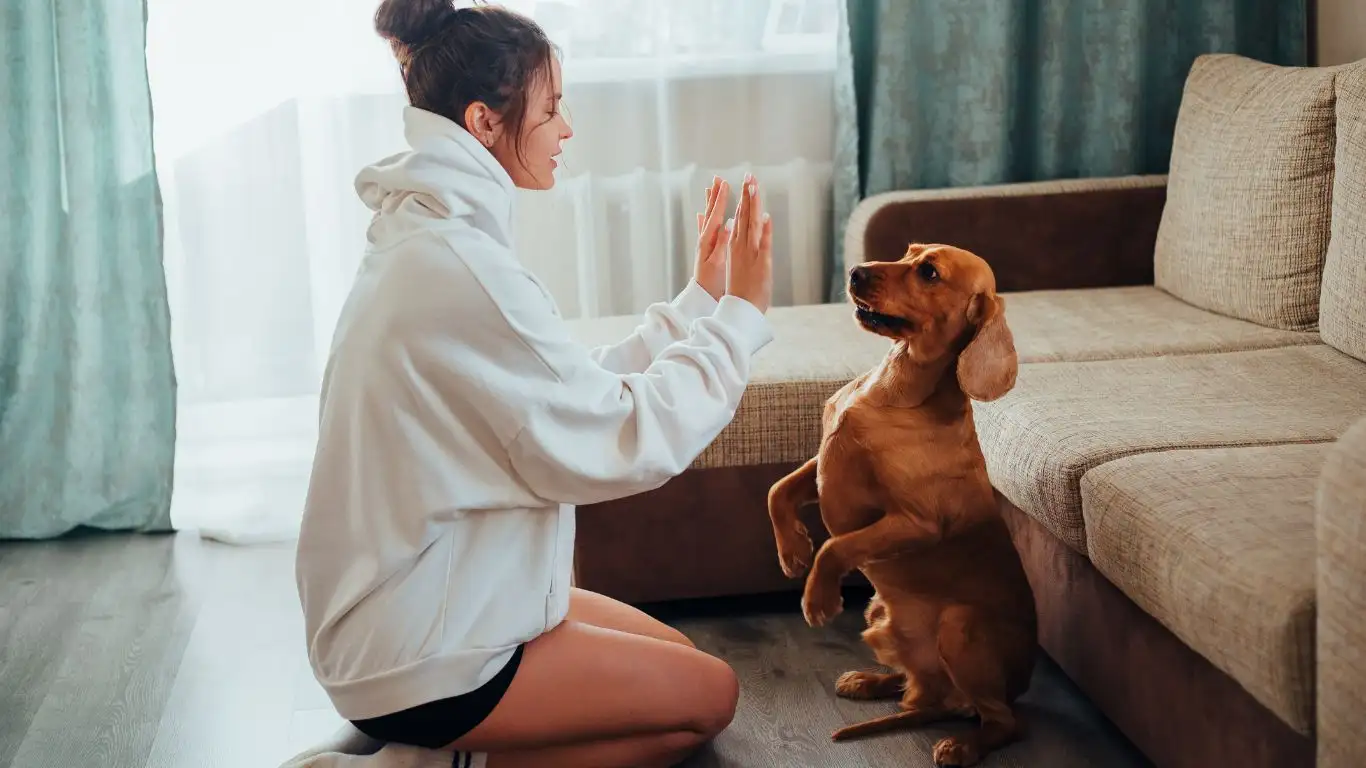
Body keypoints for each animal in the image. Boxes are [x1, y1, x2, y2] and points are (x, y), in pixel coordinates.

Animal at [770, 241, 1032, 759]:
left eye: (929, 273)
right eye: (908, 251)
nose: (855, 271)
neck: (894, 387)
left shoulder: (914, 523)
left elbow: (836, 546)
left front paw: (818, 598)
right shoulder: (823, 465)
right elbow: (778, 491)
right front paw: (791, 551)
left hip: (958, 627)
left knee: (1003, 721)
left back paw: (964, 746)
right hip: (883, 616)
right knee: (917, 690)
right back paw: (870, 681)